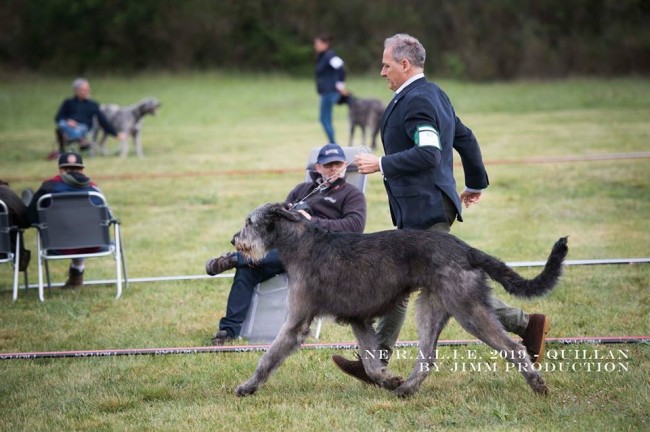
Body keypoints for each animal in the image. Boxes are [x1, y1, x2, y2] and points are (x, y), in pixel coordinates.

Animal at [230, 203, 564, 398]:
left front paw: (247, 386)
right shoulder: (358, 319)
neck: (302, 242)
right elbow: (371, 363)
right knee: (427, 357)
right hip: (432, 307)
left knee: (513, 348)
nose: (234, 240)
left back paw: (538, 386)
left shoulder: (297, 320)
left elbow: (269, 356)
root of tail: (465, 249)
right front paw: (387, 380)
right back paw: (404, 389)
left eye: (249, 221)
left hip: (467, 309)